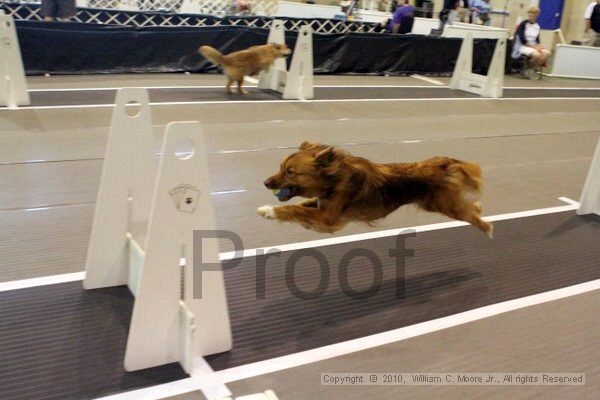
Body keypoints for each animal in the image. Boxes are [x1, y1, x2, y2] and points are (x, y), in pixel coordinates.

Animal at [256, 142, 492, 238]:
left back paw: (487, 228)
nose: (266, 182)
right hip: (436, 203)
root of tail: (441, 163)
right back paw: (479, 208)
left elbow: (295, 209)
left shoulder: (328, 217)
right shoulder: (323, 205)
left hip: (443, 204)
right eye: (280, 168)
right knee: (469, 206)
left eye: (290, 172)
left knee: (470, 215)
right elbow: (302, 204)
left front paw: (269, 211)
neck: (334, 178)